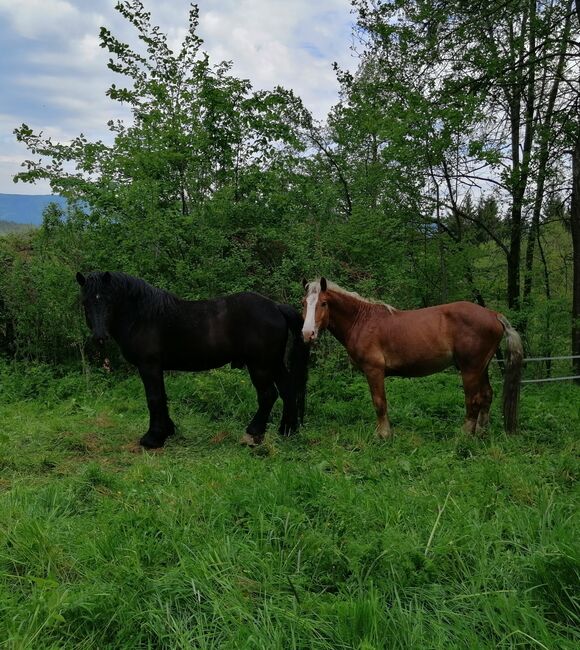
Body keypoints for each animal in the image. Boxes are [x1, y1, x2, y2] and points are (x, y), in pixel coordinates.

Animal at [78, 270, 310, 448]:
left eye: (108, 300)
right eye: (85, 302)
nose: (99, 337)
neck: (143, 317)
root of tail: (276, 307)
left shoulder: (149, 366)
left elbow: (154, 398)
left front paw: (152, 438)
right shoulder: (157, 368)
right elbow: (162, 397)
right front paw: (167, 431)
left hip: (259, 365)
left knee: (268, 395)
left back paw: (252, 434)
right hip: (274, 362)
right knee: (287, 390)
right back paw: (287, 430)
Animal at [302, 278, 524, 436]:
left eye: (323, 303)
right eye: (303, 303)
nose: (307, 333)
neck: (362, 321)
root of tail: (493, 314)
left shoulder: (374, 370)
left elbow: (379, 403)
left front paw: (383, 435)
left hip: (470, 369)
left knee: (474, 400)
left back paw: (464, 436)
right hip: (481, 367)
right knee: (487, 396)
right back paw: (481, 433)